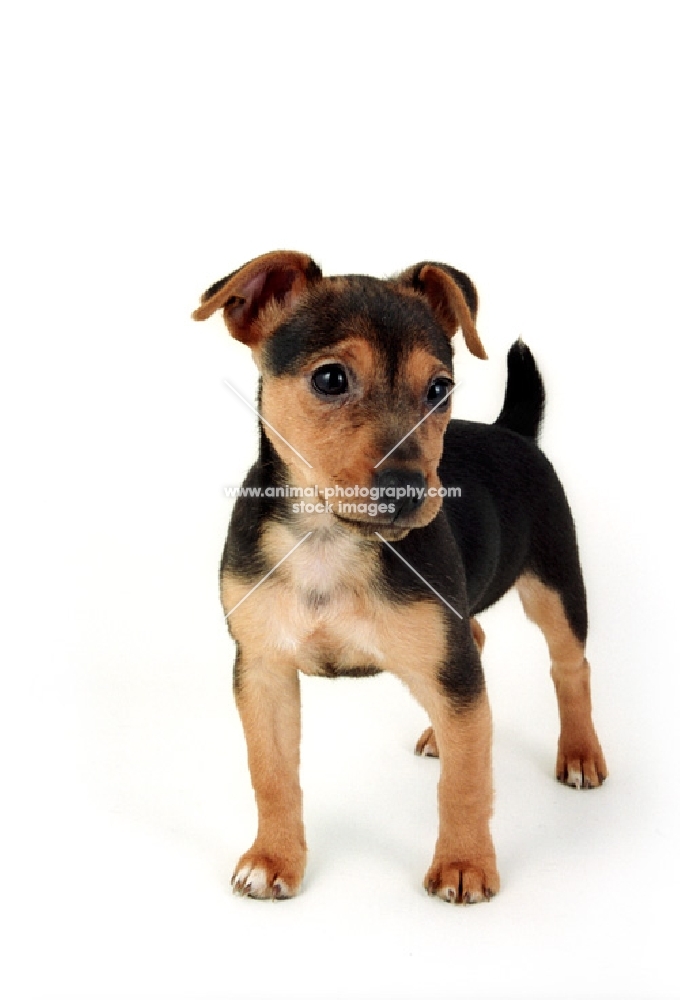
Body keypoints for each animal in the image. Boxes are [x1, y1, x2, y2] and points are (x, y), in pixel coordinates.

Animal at [191, 252, 604, 908]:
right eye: (330, 379)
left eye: (439, 389)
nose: (408, 488)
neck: (329, 538)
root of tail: (512, 432)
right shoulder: (262, 667)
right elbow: (272, 773)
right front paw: (273, 858)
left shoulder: (453, 669)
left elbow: (466, 783)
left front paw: (463, 864)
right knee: (478, 644)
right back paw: (441, 733)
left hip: (556, 586)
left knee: (570, 668)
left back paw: (581, 753)